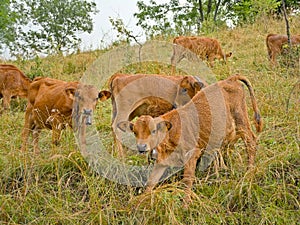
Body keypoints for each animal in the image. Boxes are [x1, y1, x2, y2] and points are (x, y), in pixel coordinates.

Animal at [117, 74, 262, 207]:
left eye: (153, 131)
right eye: (135, 132)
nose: (141, 147)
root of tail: (231, 79)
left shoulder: (192, 154)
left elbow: (187, 180)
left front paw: (185, 205)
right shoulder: (162, 161)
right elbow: (151, 182)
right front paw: (138, 202)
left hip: (241, 121)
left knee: (251, 142)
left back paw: (248, 173)